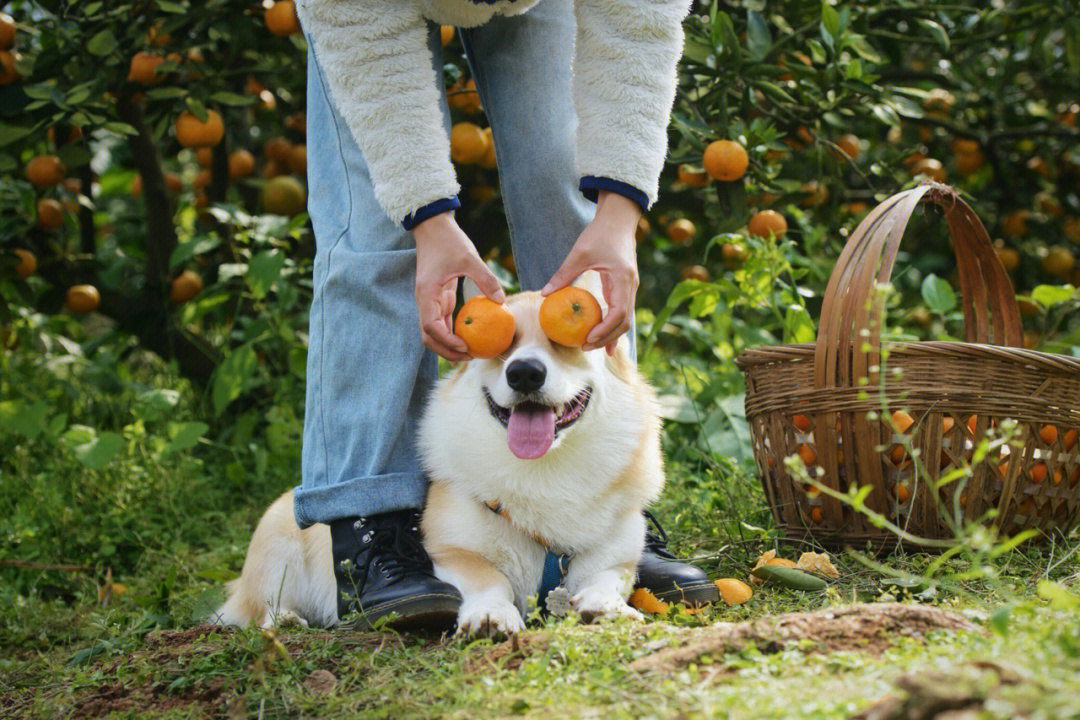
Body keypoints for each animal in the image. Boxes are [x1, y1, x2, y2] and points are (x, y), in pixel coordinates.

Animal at [213, 276, 660, 634]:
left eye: (562, 341)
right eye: (504, 345)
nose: (524, 373)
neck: (546, 470)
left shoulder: (614, 557)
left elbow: (606, 579)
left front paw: (606, 606)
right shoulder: (452, 552)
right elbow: (489, 579)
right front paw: (490, 615)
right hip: (279, 549)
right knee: (260, 608)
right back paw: (286, 619)